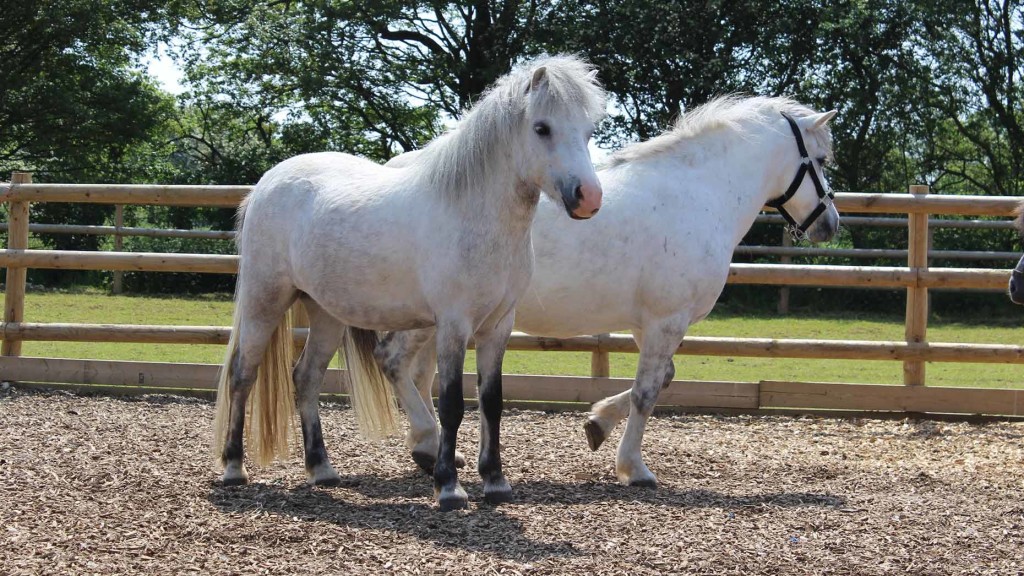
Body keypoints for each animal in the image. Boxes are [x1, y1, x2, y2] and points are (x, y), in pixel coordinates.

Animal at [210, 56, 602, 508]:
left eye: (588, 131)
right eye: (542, 127)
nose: (589, 197)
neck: (471, 213)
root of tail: (265, 185)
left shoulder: (497, 327)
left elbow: (492, 401)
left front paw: (495, 481)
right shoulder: (453, 325)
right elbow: (451, 404)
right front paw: (448, 486)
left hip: (325, 313)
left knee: (305, 378)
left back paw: (322, 469)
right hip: (265, 300)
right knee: (243, 374)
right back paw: (234, 467)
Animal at [368, 94, 839, 483]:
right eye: (819, 159)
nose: (830, 224)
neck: (699, 194)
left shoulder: (650, 325)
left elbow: (663, 378)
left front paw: (597, 424)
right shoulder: (668, 321)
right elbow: (647, 393)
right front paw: (633, 467)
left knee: (419, 374)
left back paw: (432, 450)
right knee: (393, 361)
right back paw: (427, 444)